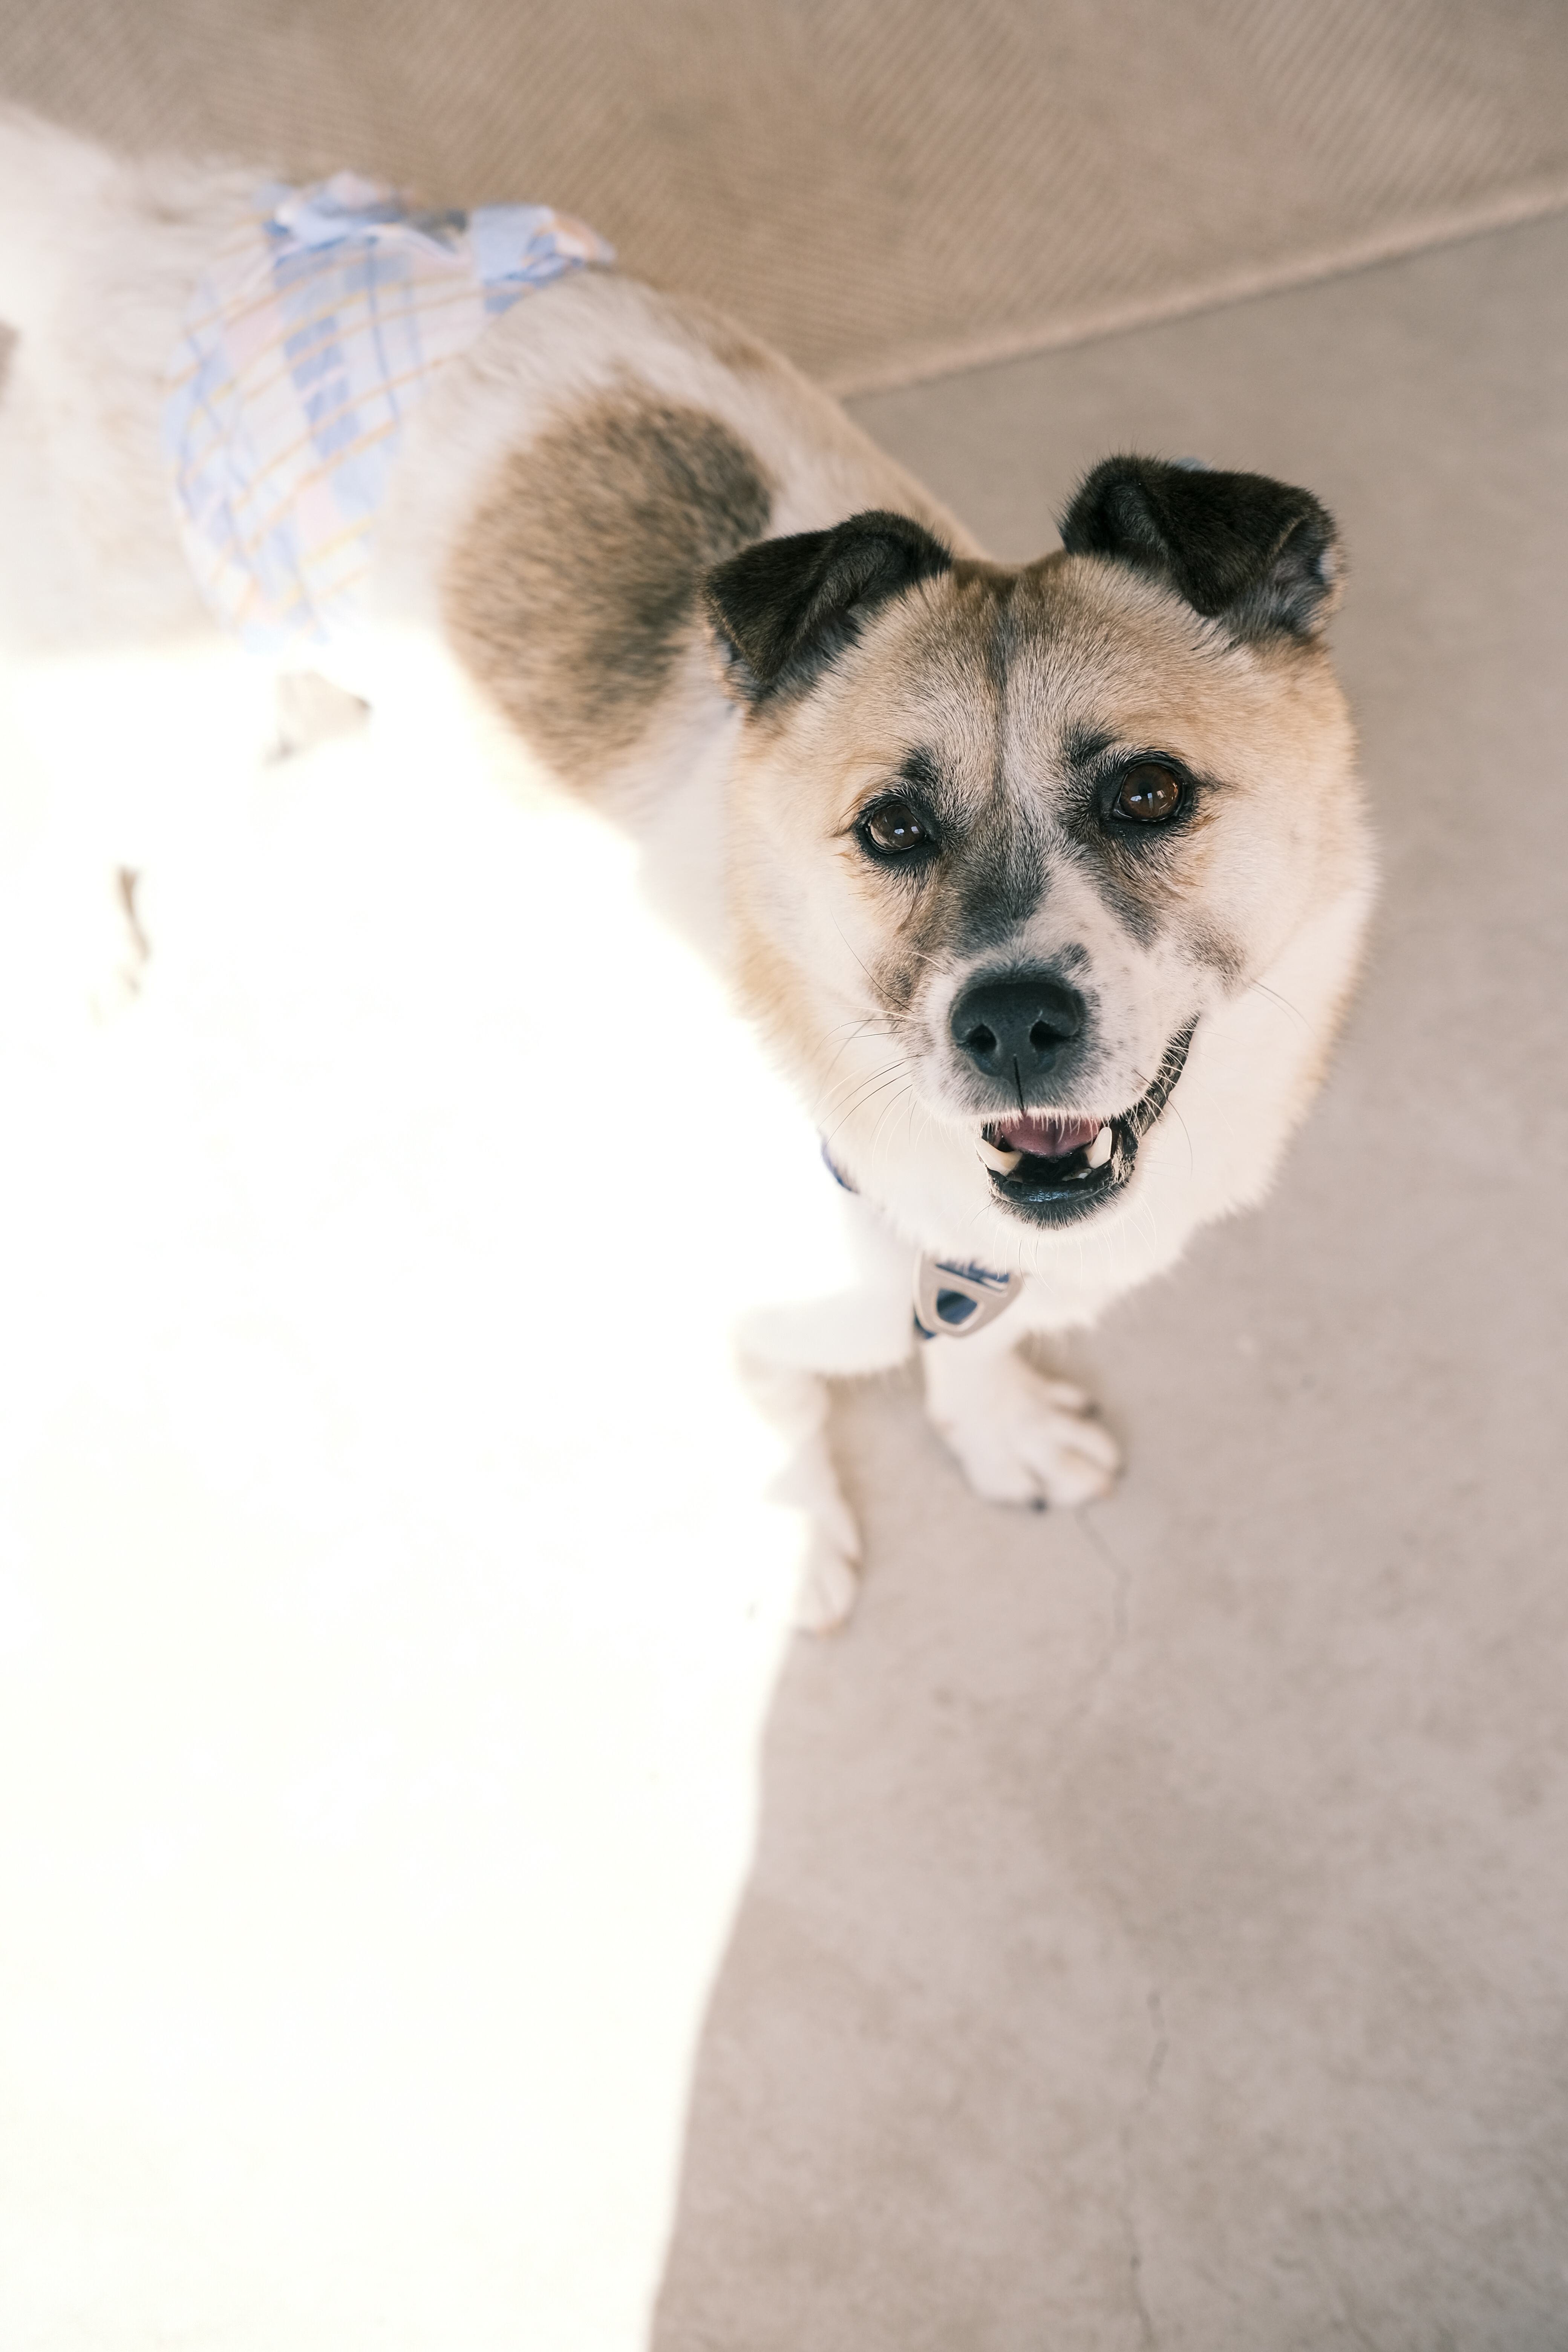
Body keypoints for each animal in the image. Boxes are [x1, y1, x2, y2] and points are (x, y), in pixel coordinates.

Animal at [0, 111, 1374, 1627]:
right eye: (890, 827)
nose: (1011, 1024)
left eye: (1149, 793)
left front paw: (1001, 1429)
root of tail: (138, 207)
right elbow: (777, 1416)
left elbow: (969, 1347)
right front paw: (793, 1545)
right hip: (163, 718)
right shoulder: (715, 1305)